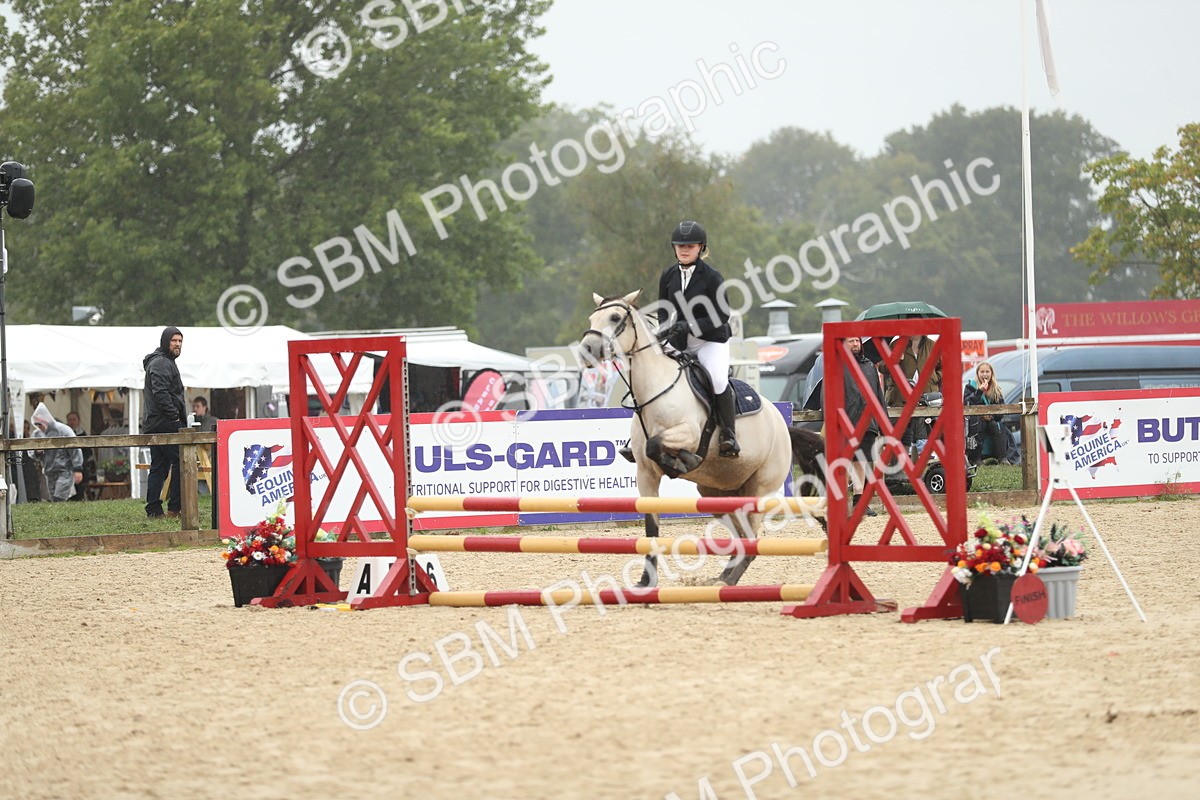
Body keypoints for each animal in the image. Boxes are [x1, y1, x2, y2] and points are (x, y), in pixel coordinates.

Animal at [579, 290, 825, 587]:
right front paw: (646, 581)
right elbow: (651, 526)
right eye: (592, 318)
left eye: (615, 317)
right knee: (741, 536)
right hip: (718, 494)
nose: (587, 350)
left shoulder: (689, 433)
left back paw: (728, 581)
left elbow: (657, 445)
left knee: (751, 539)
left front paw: (684, 462)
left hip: (760, 487)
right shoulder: (645, 473)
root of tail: (782, 425)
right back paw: (724, 576)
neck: (655, 389)